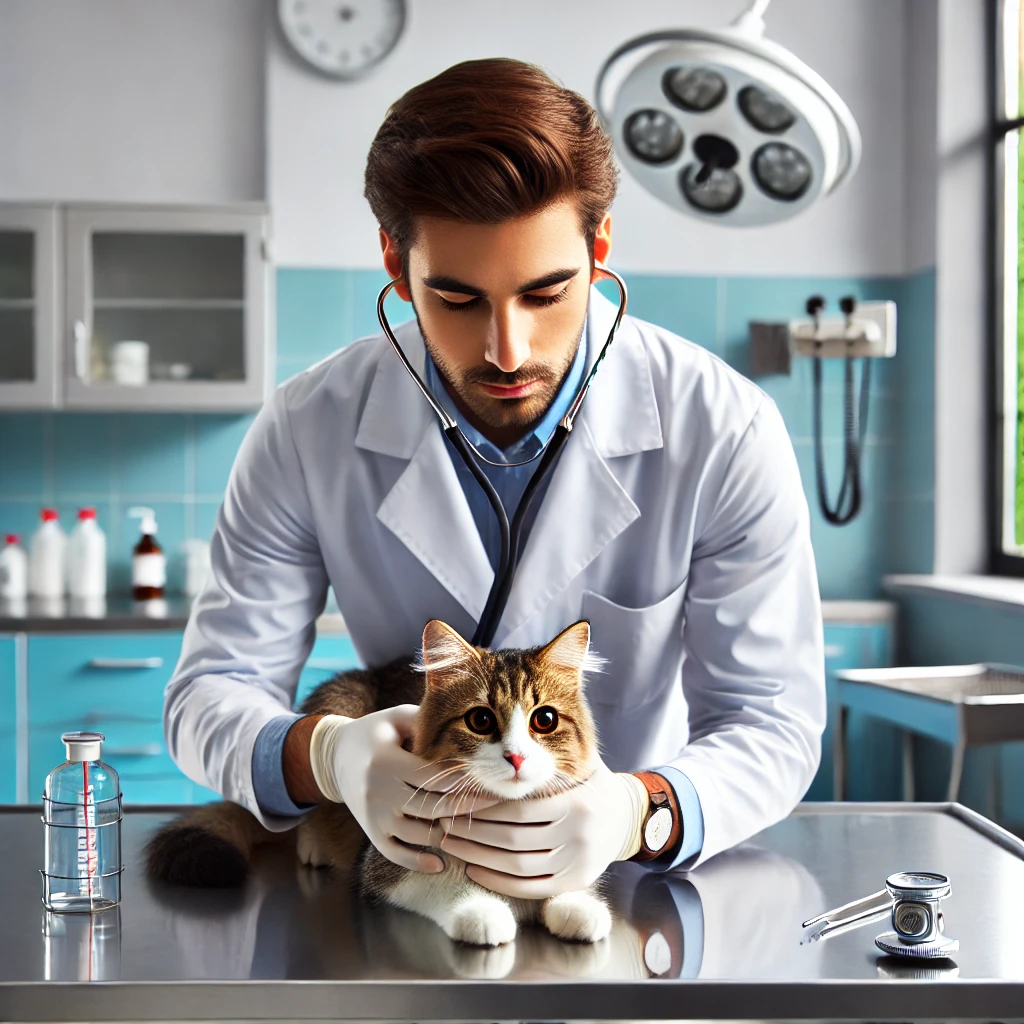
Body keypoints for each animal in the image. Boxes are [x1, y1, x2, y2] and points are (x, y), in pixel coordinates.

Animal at [148, 614, 610, 942]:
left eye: (544, 720)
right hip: (341, 697)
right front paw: (481, 911)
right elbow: (439, 885)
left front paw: (578, 905)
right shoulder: (385, 869)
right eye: (480, 720)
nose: (516, 756)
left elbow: (568, 883)